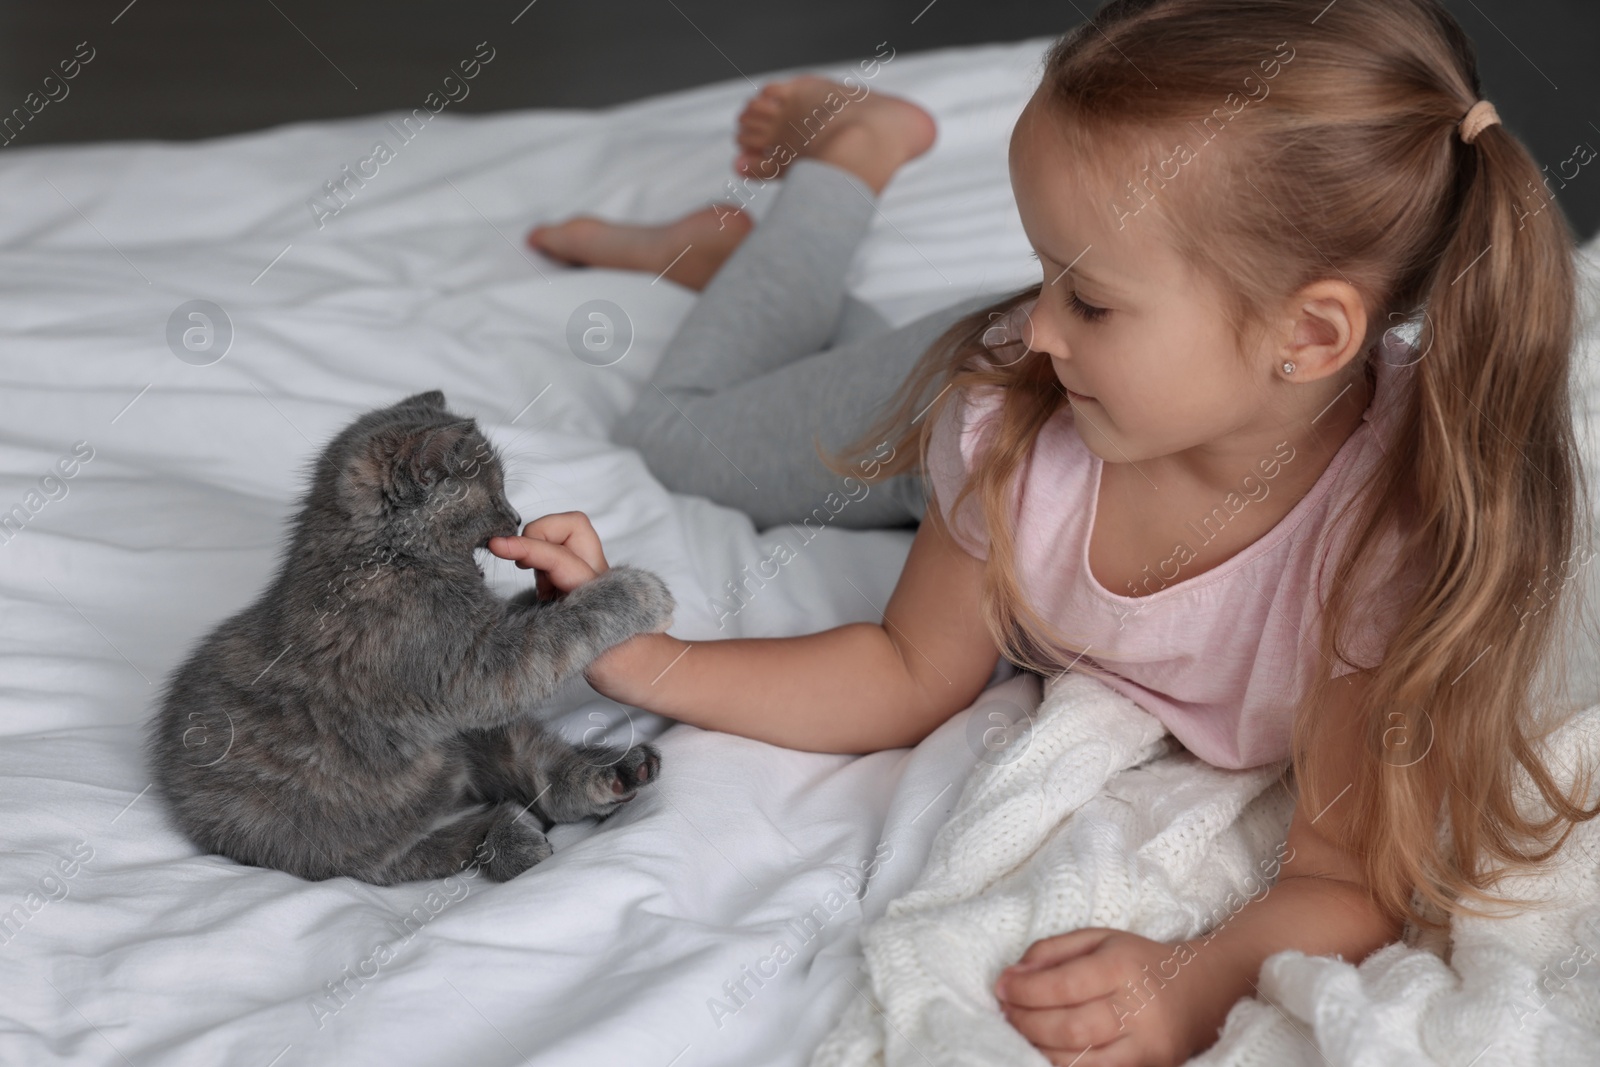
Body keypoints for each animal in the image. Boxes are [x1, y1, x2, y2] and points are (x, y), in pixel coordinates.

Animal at [147, 391, 672, 883]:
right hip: (332, 844)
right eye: (493, 491)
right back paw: (514, 836)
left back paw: (616, 774)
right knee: (437, 847)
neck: (385, 558)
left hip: (467, 739)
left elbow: (531, 613)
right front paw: (638, 590)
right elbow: (559, 632)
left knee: (536, 766)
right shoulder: (476, 667)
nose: (517, 518)